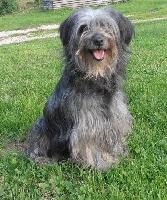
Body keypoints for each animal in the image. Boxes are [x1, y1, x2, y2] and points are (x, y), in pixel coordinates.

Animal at [25, 6, 134, 169]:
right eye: (83, 28)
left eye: (107, 26)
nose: (98, 40)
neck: (95, 75)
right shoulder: (88, 123)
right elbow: (91, 146)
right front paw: (102, 164)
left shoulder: (115, 116)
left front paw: (119, 152)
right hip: (41, 129)